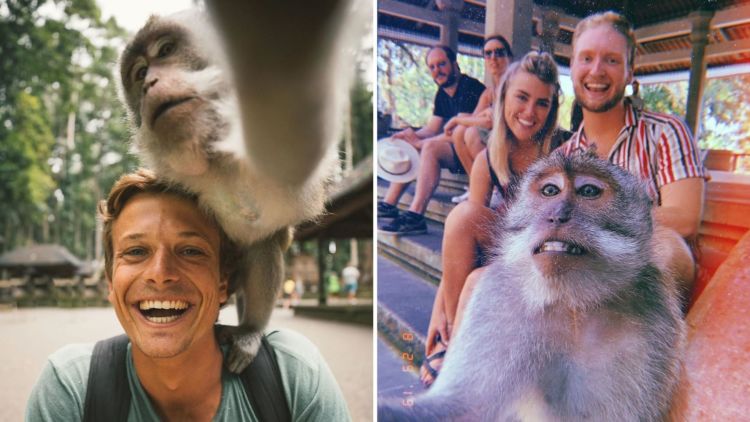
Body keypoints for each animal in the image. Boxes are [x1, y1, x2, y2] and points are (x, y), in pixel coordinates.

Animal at [119, 2, 362, 372]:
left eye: (165, 50)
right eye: (140, 72)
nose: (149, 84)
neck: (214, 156)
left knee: (263, 247)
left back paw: (250, 329)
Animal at [382, 150, 688, 420]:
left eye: (589, 191)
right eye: (550, 191)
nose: (556, 215)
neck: (574, 302)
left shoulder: (653, 314)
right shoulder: (498, 299)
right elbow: (465, 407)